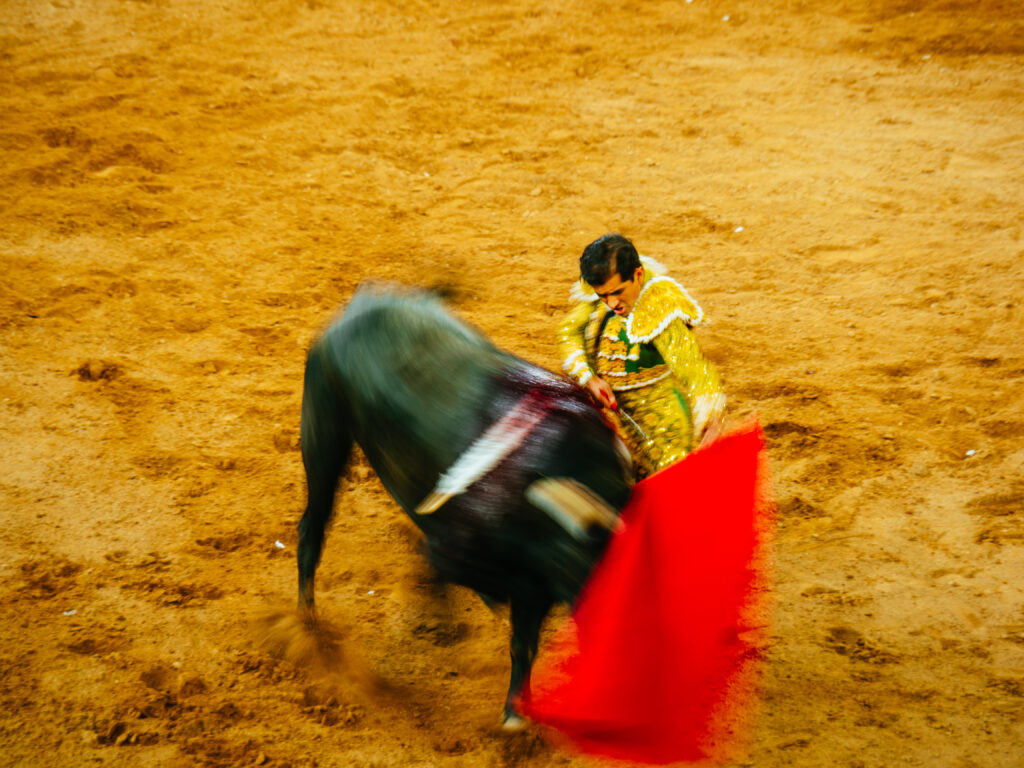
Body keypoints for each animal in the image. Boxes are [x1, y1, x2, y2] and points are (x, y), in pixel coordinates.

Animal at [296, 286, 630, 729]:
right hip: (323, 435)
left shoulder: (532, 583)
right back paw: (307, 621)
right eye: (587, 567)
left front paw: (517, 710)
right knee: (312, 527)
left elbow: (522, 642)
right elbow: (442, 572)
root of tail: (358, 307)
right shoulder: (465, 552)